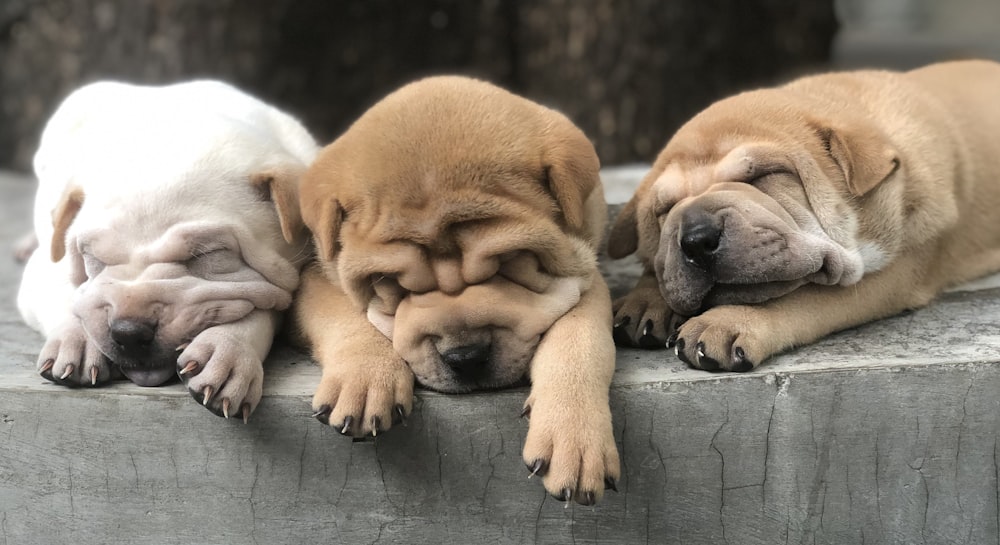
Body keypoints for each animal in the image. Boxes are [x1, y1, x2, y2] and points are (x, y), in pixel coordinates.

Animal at [18, 82, 316, 420]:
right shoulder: (47, 266)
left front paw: (227, 351)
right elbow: (70, 293)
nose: (129, 332)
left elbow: (263, 310)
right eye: (92, 259)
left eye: (206, 255)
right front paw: (76, 337)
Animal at [286, 76, 620, 506]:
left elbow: (580, 341)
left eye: (510, 263)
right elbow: (342, 314)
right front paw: (364, 380)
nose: (466, 357)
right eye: (390, 284)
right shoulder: (313, 275)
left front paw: (574, 439)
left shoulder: (585, 275)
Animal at [604, 60, 1000, 370]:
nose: (697, 239)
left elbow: (802, 295)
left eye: (765, 175)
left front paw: (729, 320)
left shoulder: (897, 272)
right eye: (664, 209)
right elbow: (660, 264)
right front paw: (647, 297)